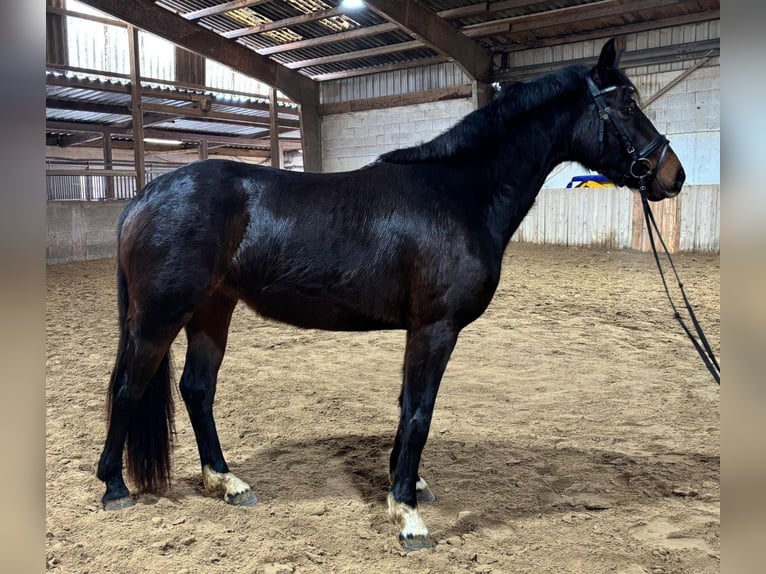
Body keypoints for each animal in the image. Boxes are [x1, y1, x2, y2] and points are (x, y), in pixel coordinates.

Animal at [95, 38, 685, 551]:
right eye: (627, 103)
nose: (672, 175)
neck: (458, 193)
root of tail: (145, 195)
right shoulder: (436, 328)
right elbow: (421, 411)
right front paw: (408, 516)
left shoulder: (420, 330)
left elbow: (406, 405)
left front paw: (408, 485)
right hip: (160, 317)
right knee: (129, 387)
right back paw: (115, 488)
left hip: (212, 310)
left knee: (197, 389)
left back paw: (226, 481)